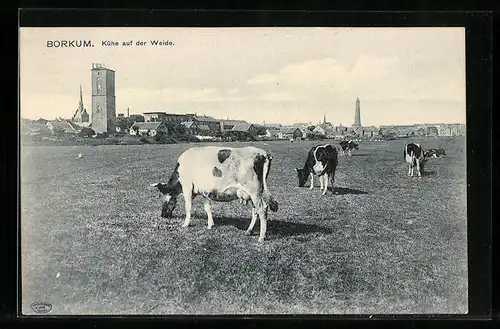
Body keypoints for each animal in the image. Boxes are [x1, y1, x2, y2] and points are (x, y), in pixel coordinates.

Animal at [150, 145, 280, 242]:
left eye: (166, 200)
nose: (163, 215)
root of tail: (263, 153)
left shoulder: (187, 186)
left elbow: (188, 206)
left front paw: (185, 224)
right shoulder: (204, 191)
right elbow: (207, 207)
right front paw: (210, 225)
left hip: (254, 191)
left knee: (262, 209)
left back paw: (261, 237)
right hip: (252, 193)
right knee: (255, 210)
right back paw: (249, 231)